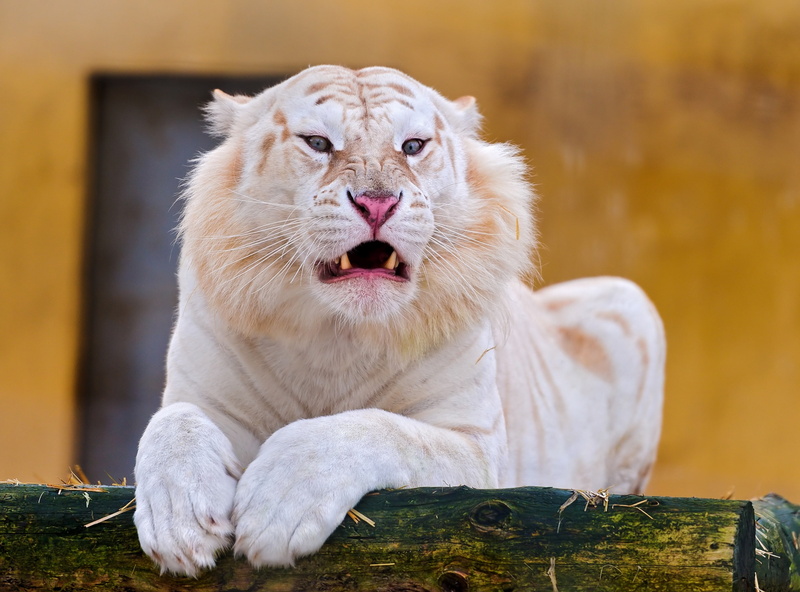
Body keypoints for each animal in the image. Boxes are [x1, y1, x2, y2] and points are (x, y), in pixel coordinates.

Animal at [133, 65, 665, 576]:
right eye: (318, 142)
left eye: (412, 146)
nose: (377, 203)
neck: (336, 335)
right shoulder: (204, 396)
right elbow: (171, 423)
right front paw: (178, 524)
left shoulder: (478, 447)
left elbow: (380, 429)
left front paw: (275, 506)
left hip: (630, 301)